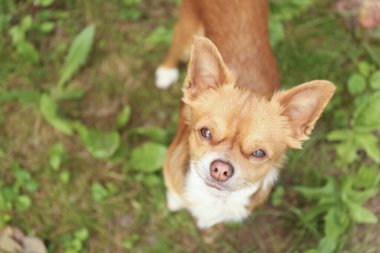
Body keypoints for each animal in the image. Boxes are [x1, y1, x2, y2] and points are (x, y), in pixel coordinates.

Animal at [157, 0, 336, 234]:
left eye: (259, 153)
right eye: (205, 133)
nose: (221, 169)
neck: (214, 198)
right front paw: (173, 202)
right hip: (188, 29)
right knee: (176, 46)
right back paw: (165, 71)